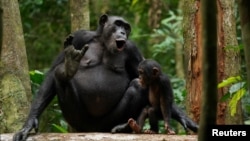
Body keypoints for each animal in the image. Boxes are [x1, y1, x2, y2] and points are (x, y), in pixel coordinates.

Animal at [13, 14, 197, 141]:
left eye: (126, 27)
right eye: (118, 24)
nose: (123, 31)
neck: (103, 42)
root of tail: (94, 130)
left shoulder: (133, 50)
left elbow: (144, 77)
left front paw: (185, 119)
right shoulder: (79, 36)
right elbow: (52, 73)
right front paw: (28, 124)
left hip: (109, 121)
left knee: (137, 85)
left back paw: (126, 127)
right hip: (77, 122)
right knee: (59, 74)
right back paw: (68, 67)